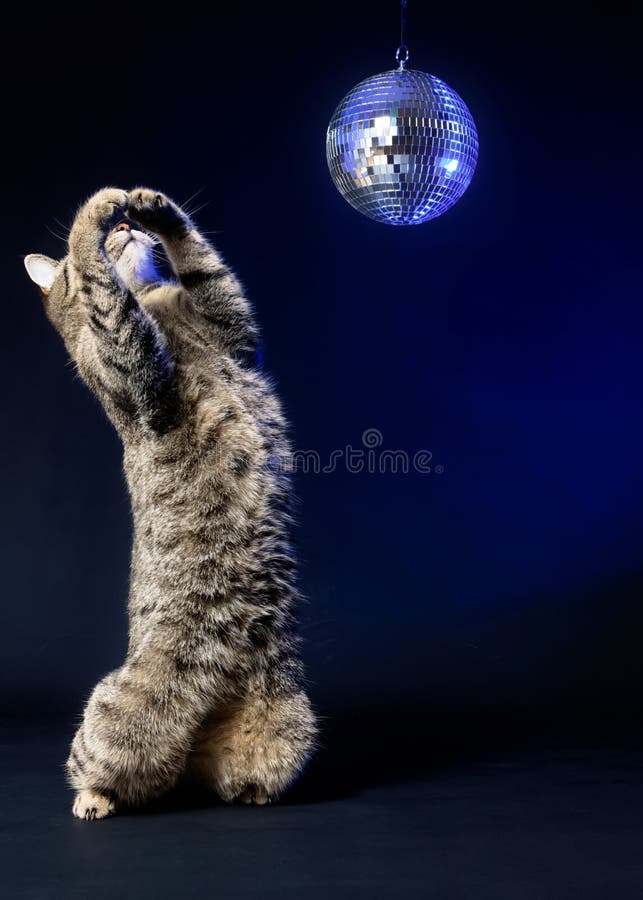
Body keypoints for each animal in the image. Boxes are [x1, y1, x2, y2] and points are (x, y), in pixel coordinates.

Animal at [24, 186, 316, 820]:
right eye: (112, 234)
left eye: (134, 227)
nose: (125, 227)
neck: (155, 305)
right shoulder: (128, 362)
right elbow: (102, 290)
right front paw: (95, 213)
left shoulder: (234, 327)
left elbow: (206, 264)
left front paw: (154, 206)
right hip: (115, 711)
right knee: (99, 766)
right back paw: (93, 798)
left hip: (287, 723)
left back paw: (250, 792)